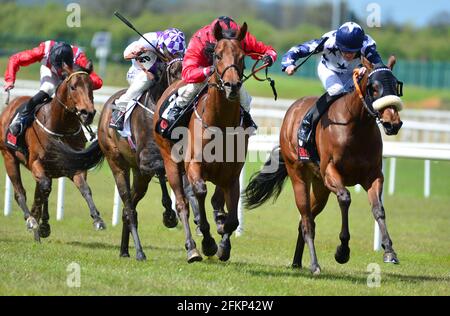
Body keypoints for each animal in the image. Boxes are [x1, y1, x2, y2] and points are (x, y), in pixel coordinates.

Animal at [152, 22, 250, 262]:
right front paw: (208, 242)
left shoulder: (232, 175)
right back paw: (192, 248)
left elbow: (231, 217)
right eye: (217, 55)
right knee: (182, 203)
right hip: (171, 162)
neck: (221, 124)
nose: (232, 85)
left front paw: (223, 242)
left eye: (242, 56)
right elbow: (199, 192)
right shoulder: (194, 166)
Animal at [246, 56, 404, 274]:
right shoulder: (331, 172)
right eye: (374, 87)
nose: (393, 123)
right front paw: (342, 251)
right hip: (299, 176)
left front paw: (389, 251)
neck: (356, 128)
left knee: (306, 219)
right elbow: (345, 198)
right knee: (306, 221)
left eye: (396, 85)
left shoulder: (372, 175)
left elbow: (378, 209)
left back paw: (297, 261)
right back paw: (314, 264)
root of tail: (292, 110)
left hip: (320, 187)